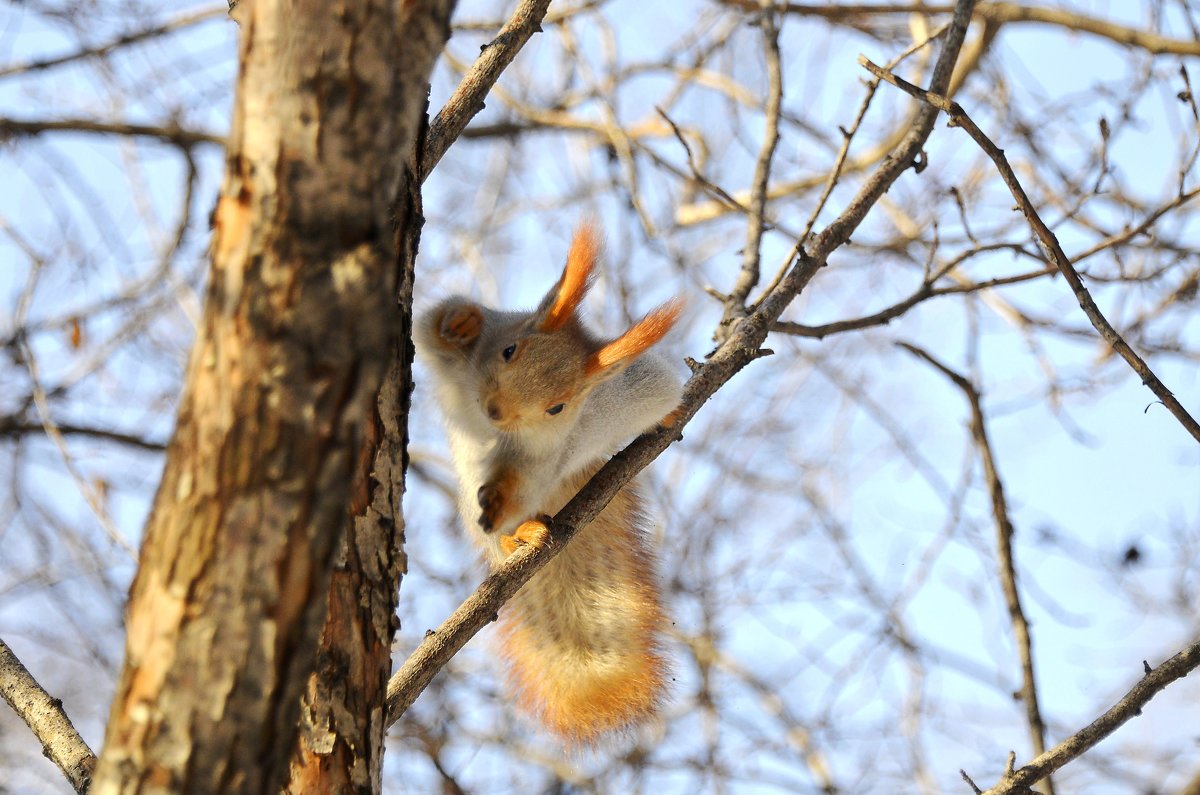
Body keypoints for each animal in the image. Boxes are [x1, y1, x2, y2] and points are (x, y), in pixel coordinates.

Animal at [417, 224, 686, 749]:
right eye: (509, 350)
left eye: (557, 406)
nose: (496, 411)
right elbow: (431, 324)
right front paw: (462, 323)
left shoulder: (543, 456)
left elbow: (521, 477)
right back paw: (512, 538)